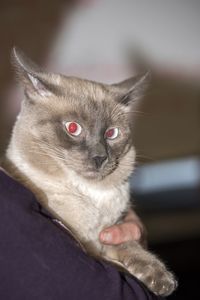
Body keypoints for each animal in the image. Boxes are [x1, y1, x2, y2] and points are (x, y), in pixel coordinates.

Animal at [1, 48, 177, 296]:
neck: (92, 197)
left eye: (112, 133)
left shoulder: (114, 228)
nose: (99, 157)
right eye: (73, 128)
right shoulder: (87, 247)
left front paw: (162, 281)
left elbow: (132, 248)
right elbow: (116, 267)